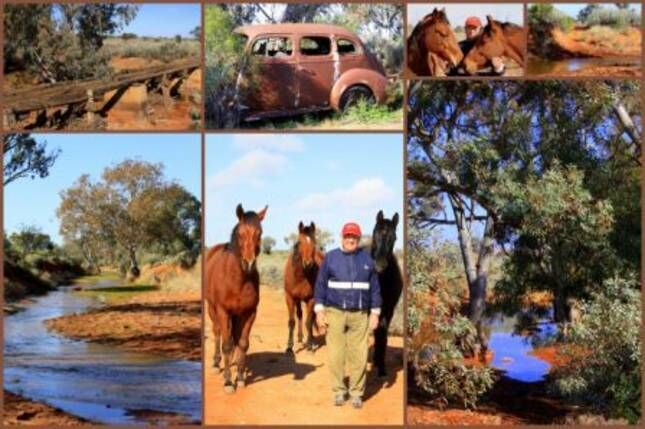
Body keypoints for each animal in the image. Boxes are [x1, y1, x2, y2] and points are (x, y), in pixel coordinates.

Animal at [206, 202, 266, 392]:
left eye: (259, 233)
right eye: (240, 233)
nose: (249, 263)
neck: (238, 280)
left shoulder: (249, 313)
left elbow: (243, 343)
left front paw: (239, 379)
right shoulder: (223, 311)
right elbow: (226, 345)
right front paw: (228, 382)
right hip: (212, 310)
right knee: (218, 333)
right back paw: (216, 364)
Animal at [284, 222, 324, 352]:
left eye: (314, 242)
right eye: (300, 242)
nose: (308, 263)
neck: (300, 276)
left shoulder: (311, 299)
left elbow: (309, 322)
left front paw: (310, 345)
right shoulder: (290, 298)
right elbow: (292, 321)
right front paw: (289, 347)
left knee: (311, 318)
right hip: (297, 300)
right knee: (300, 315)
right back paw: (300, 337)